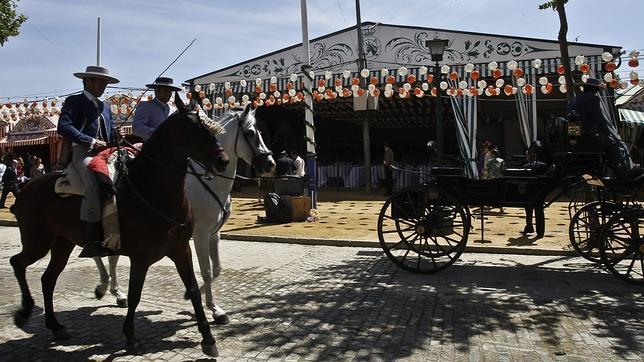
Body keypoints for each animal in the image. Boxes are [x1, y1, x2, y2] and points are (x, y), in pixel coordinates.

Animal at [9, 94, 229, 358]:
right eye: (193, 127)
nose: (223, 160)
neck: (153, 191)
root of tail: (26, 188)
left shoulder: (180, 249)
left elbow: (194, 289)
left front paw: (208, 337)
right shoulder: (141, 257)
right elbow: (135, 295)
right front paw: (131, 336)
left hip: (62, 244)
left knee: (47, 279)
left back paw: (55, 325)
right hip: (37, 242)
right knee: (17, 263)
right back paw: (25, 312)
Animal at [185, 104, 272, 322]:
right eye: (250, 133)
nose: (270, 163)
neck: (209, 182)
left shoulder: (214, 234)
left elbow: (217, 269)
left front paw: (213, 308)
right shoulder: (199, 235)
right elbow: (207, 271)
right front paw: (210, 307)